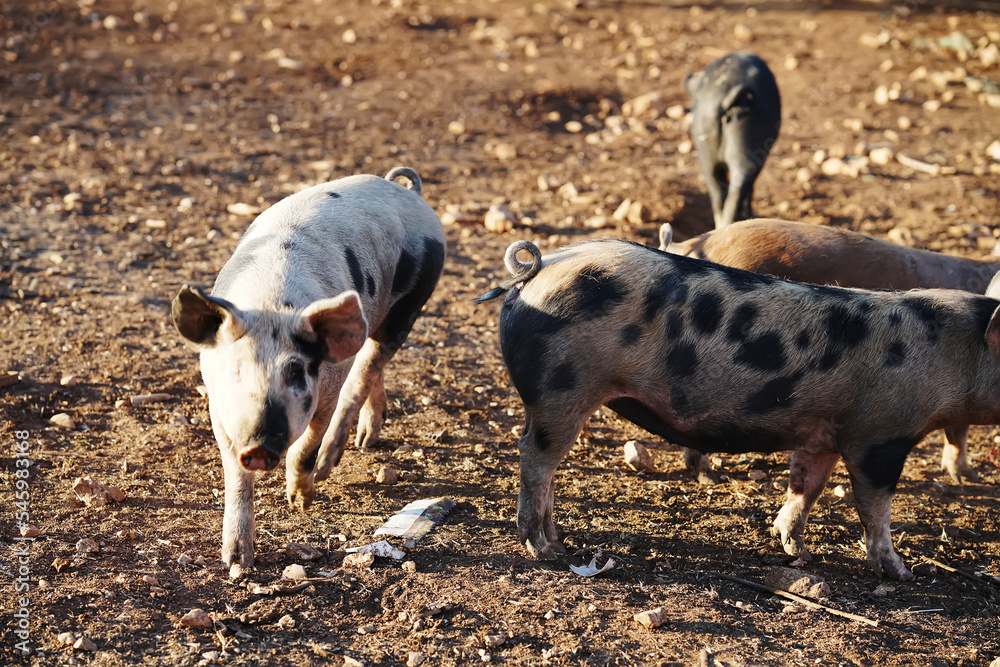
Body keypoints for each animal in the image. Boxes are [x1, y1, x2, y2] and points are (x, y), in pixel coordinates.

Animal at [172, 167, 445, 568]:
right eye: (236, 370)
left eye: (296, 373)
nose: (259, 447)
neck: (270, 305)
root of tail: (406, 190)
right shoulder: (217, 404)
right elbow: (235, 474)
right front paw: (237, 561)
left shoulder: (324, 390)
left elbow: (306, 447)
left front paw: (299, 503)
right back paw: (367, 440)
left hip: (411, 304)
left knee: (364, 373)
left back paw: (337, 459)